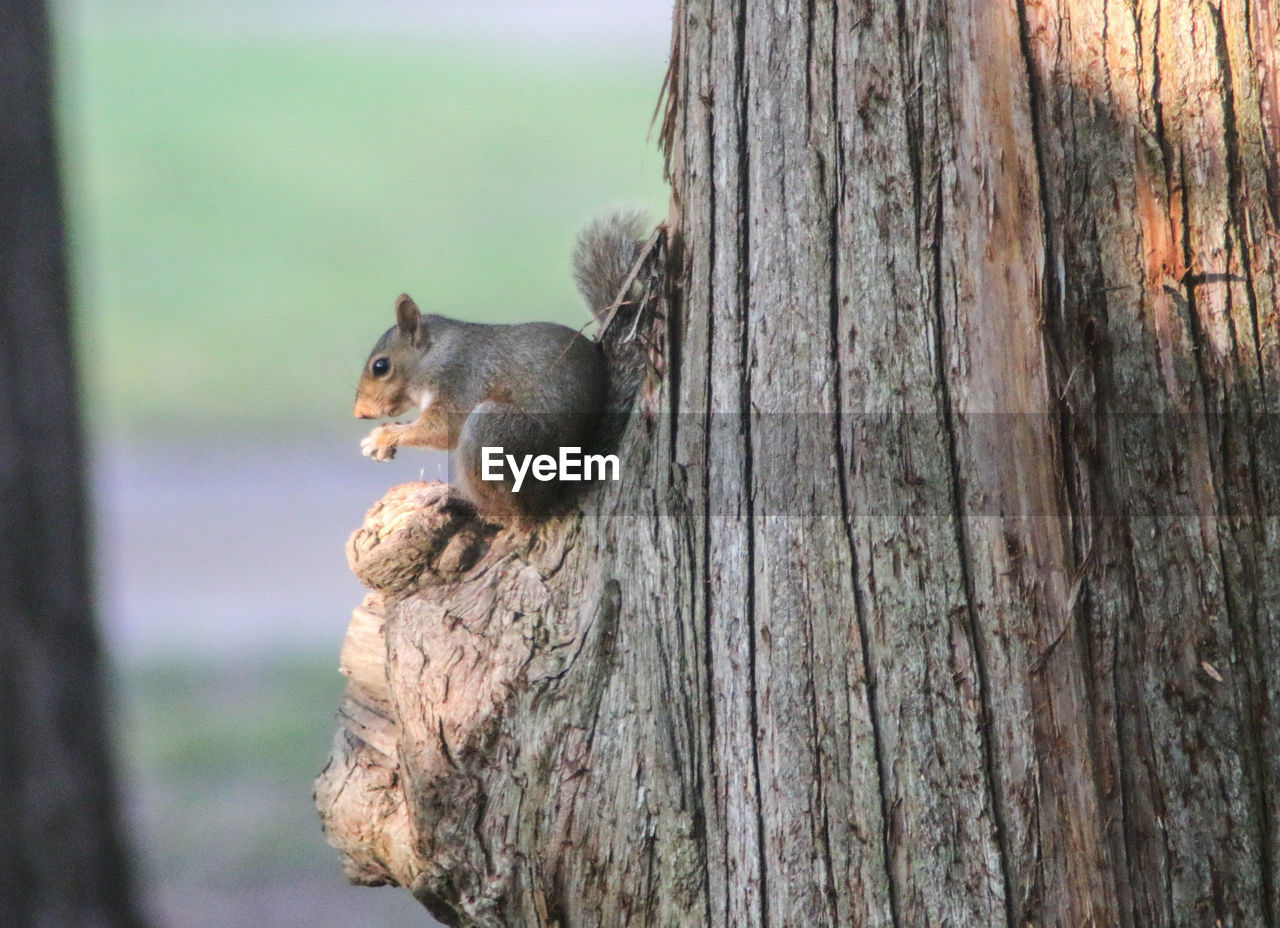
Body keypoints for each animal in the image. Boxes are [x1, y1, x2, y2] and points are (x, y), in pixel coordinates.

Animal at [353, 211, 645, 522]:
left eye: (380, 366)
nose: (359, 413)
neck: (436, 355)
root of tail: (550, 497)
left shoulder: (459, 380)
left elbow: (442, 429)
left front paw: (382, 436)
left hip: (493, 432)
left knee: (502, 511)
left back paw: (451, 495)